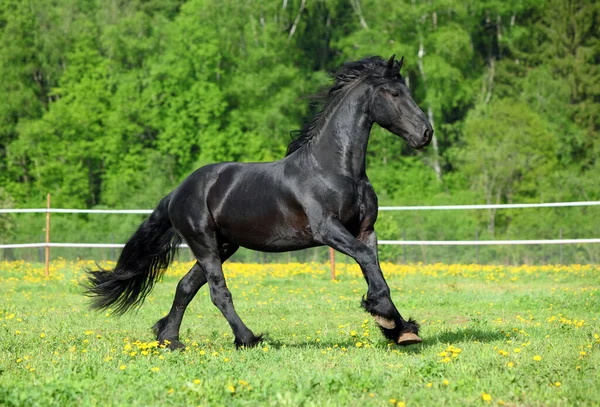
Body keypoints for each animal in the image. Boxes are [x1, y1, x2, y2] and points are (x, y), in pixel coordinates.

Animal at [85, 54, 432, 350]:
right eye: (394, 93)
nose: (426, 133)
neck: (334, 168)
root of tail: (177, 192)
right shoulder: (328, 229)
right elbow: (366, 260)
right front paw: (385, 316)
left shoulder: (364, 229)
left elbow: (373, 265)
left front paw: (401, 329)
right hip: (204, 243)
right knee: (218, 292)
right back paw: (247, 338)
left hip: (223, 245)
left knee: (186, 286)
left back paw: (169, 339)